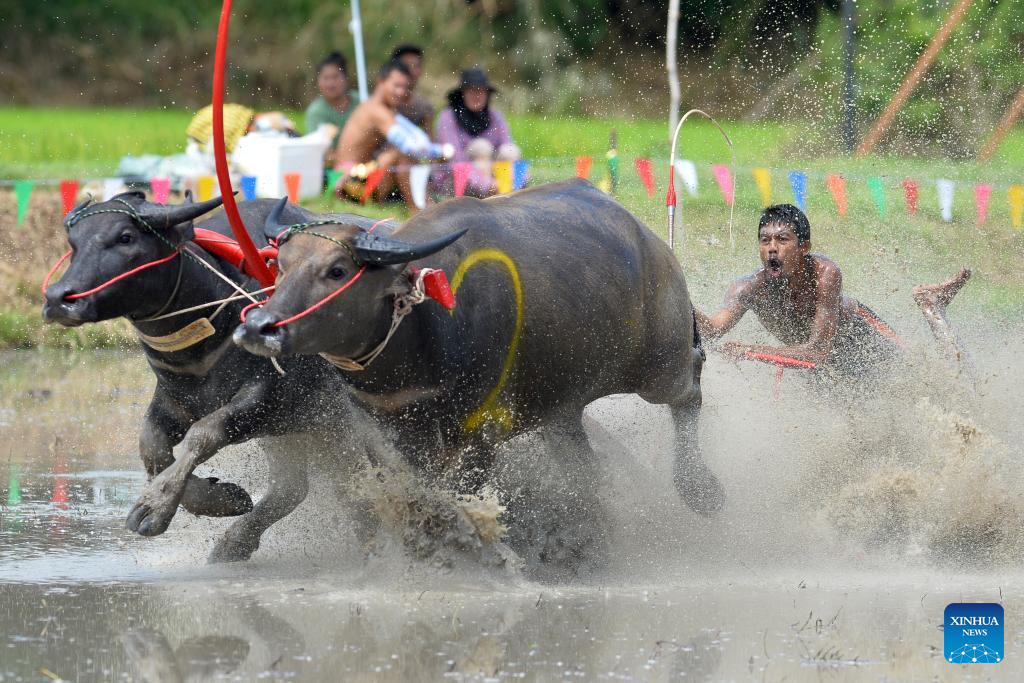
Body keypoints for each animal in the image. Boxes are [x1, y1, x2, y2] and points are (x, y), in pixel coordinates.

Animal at [40, 191, 385, 561]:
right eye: (74, 243)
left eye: (126, 237)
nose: (59, 299)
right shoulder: (174, 400)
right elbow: (152, 446)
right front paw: (222, 500)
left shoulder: (264, 402)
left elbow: (203, 435)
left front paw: (153, 509)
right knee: (296, 487)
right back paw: (234, 544)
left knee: (357, 484)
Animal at [235, 179, 724, 548]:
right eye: (280, 264)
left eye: (337, 270)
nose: (258, 326)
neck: (420, 328)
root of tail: (649, 239)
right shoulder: (387, 432)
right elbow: (410, 494)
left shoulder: (480, 435)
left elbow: (453, 496)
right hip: (562, 403)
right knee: (581, 463)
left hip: (659, 365)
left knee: (691, 383)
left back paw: (701, 490)